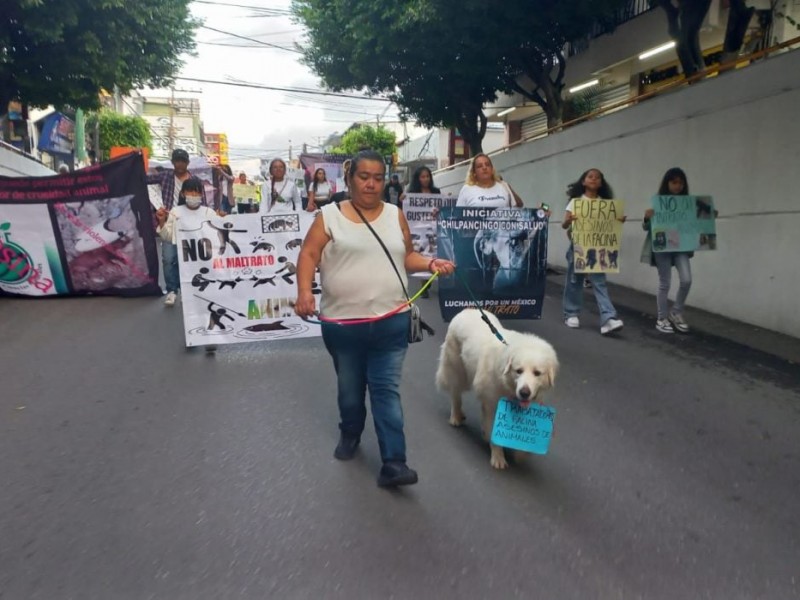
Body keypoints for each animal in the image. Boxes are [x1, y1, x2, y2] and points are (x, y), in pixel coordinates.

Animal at [434, 310, 560, 468]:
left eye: (537, 373)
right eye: (518, 371)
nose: (524, 393)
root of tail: (467, 309)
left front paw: (521, 455)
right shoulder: (493, 404)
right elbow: (494, 434)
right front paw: (498, 457)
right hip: (456, 369)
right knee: (455, 394)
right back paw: (456, 416)